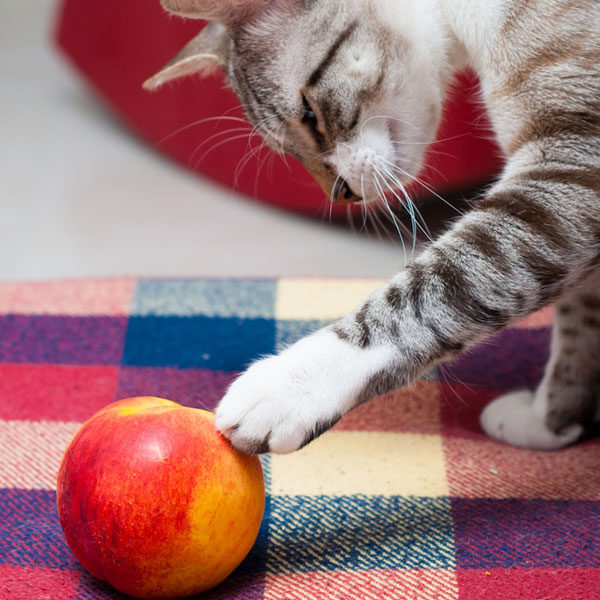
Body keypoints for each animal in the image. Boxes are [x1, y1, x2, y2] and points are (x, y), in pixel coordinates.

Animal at [145, 0, 600, 452]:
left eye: (309, 114)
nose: (341, 195)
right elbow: (578, 329)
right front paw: (548, 425)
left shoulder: (569, 169)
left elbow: (431, 290)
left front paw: (288, 387)